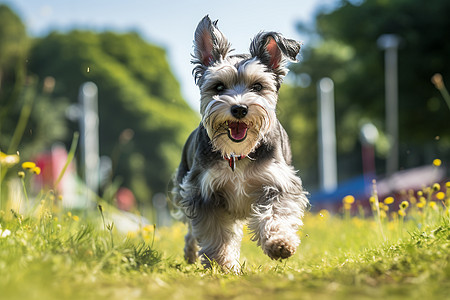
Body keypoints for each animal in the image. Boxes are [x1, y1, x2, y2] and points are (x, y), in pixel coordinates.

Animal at [172, 15, 310, 274]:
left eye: (257, 86)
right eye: (218, 87)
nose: (239, 108)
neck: (239, 155)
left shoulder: (278, 184)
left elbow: (276, 213)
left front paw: (280, 243)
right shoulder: (204, 193)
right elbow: (216, 234)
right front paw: (223, 265)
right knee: (190, 230)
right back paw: (190, 252)